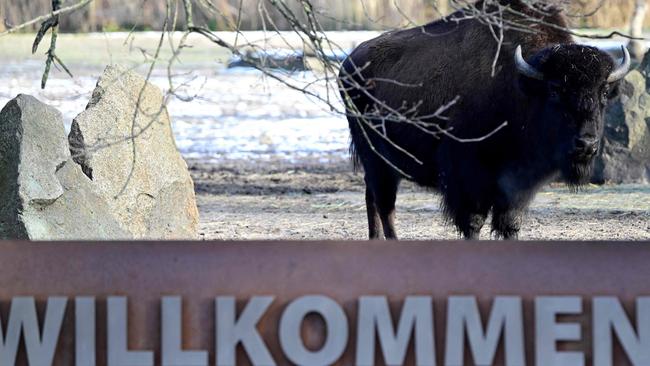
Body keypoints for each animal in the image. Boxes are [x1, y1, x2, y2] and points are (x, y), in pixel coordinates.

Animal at [340, 0, 628, 240]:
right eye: (555, 89)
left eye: (603, 92)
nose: (587, 144)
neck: (522, 87)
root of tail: (349, 63)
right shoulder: (468, 180)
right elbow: (473, 222)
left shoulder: (517, 186)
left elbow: (510, 223)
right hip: (377, 160)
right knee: (385, 204)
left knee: (372, 198)